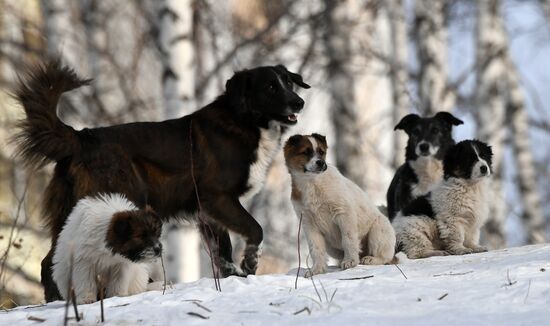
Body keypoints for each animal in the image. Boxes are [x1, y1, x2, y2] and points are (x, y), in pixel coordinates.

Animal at [284, 134, 396, 276]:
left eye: (321, 152)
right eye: (306, 152)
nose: (321, 163)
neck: (311, 183)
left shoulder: (343, 213)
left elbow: (348, 239)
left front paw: (350, 262)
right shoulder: (308, 224)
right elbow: (316, 249)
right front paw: (316, 270)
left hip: (378, 229)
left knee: (385, 257)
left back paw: (370, 259)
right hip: (332, 247)